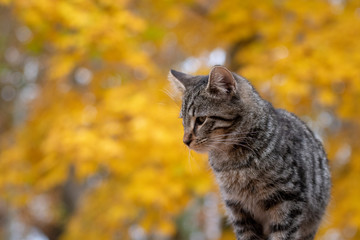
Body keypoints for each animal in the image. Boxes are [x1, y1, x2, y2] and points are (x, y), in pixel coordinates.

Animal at [169, 66, 332, 240]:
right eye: (183, 121)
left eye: (201, 120)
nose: (185, 141)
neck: (233, 163)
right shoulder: (237, 209)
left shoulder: (288, 201)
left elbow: (282, 235)